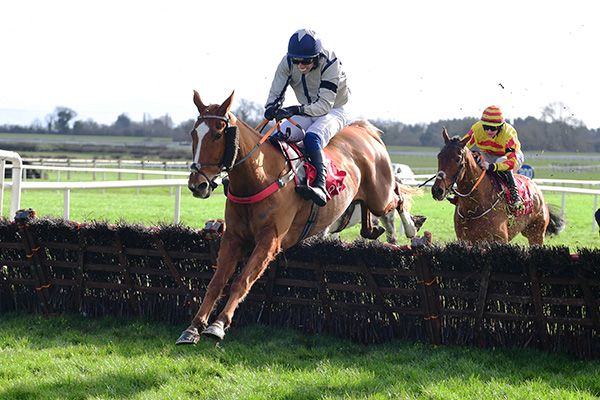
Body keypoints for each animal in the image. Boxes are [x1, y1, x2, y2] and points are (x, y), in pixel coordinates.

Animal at [173, 91, 418, 344]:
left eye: (218, 133)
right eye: (193, 133)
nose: (197, 185)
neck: (258, 178)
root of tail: (364, 130)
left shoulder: (270, 240)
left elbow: (242, 281)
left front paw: (219, 324)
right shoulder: (233, 237)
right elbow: (216, 283)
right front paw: (193, 327)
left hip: (380, 194)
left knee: (397, 196)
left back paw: (409, 227)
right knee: (370, 211)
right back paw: (374, 230)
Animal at [432, 128, 564, 244]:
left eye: (458, 158)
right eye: (439, 156)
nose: (437, 190)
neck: (474, 208)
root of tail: (536, 189)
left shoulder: (499, 240)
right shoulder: (466, 240)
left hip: (536, 234)